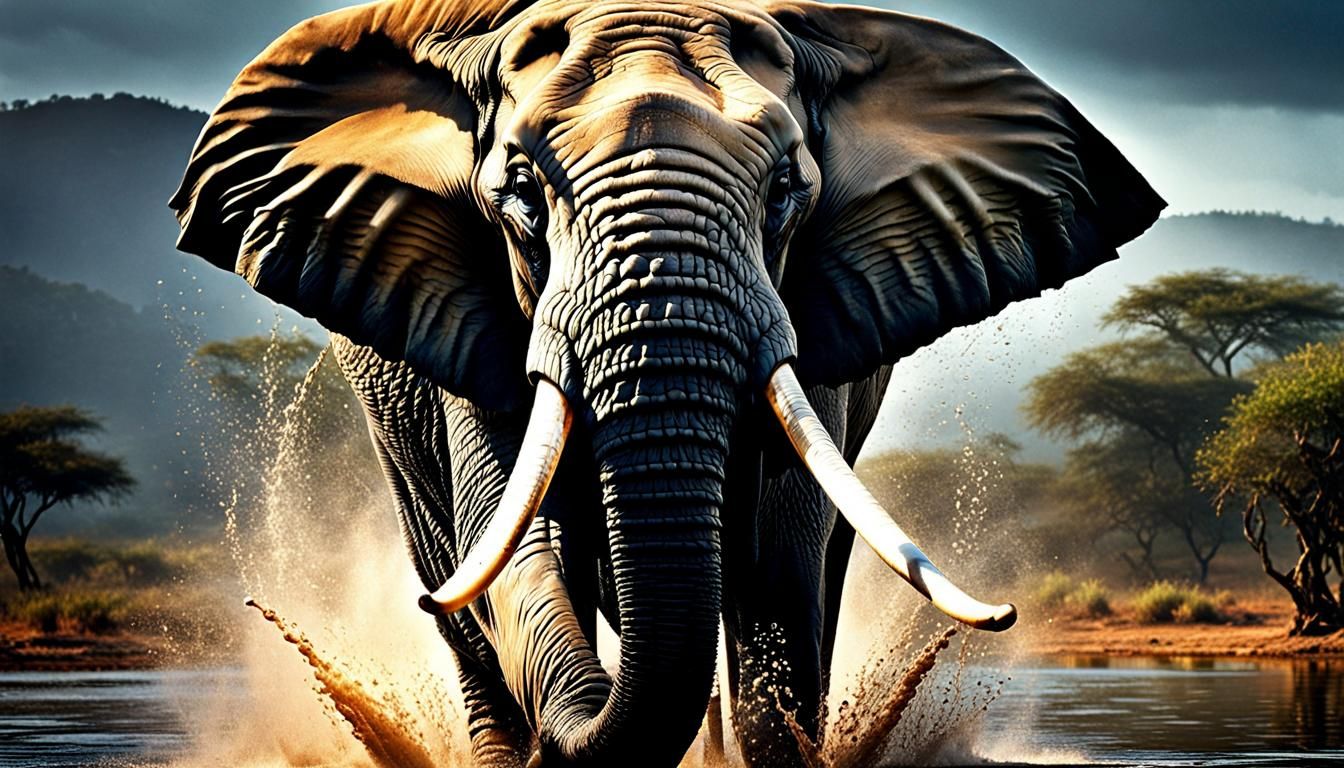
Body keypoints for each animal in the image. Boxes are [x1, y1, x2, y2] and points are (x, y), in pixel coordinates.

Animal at [170, 0, 1163, 765]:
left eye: (786, 191)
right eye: (520, 193)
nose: (1004, 615)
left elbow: (778, 564)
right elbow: (521, 554)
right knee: (456, 587)